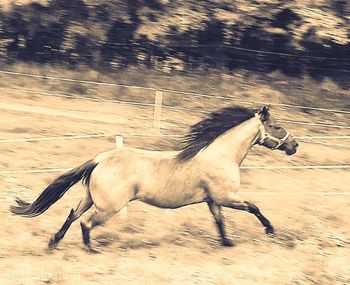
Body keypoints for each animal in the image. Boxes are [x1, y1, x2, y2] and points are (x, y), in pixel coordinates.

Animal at [10, 105, 298, 251]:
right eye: (276, 126)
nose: (295, 145)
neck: (221, 155)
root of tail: (100, 158)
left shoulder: (213, 200)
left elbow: (219, 221)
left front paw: (227, 243)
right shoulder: (227, 197)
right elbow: (254, 207)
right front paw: (270, 230)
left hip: (90, 198)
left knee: (72, 215)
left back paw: (53, 242)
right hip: (109, 207)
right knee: (86, 223)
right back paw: (91, 249)